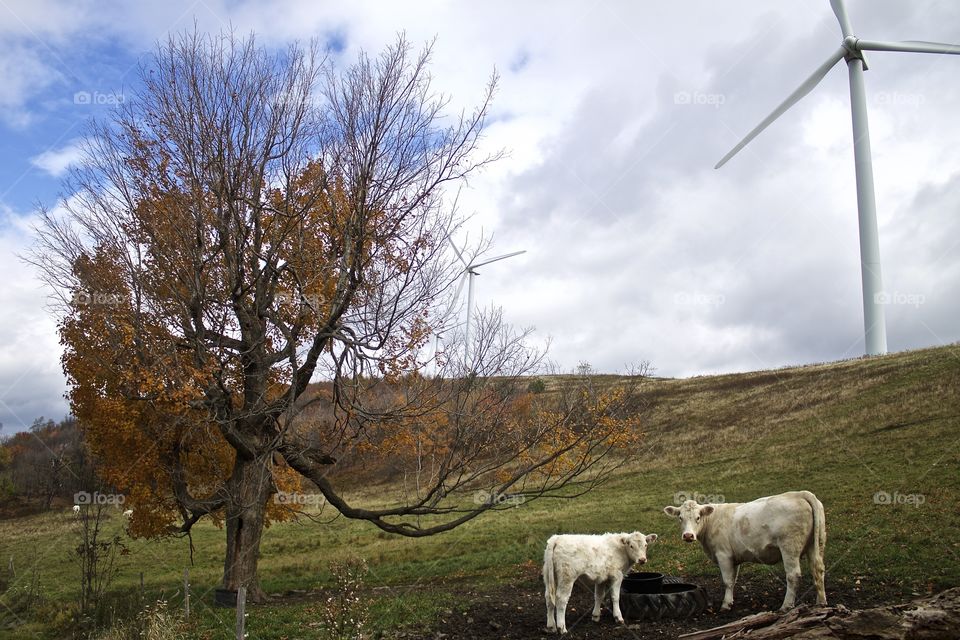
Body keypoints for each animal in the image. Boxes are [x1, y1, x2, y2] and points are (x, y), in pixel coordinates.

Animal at [663, 491, 826, 612]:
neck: (712, 521)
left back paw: (786, 606)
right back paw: (821, 602)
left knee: (793, 575)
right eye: (680, 517)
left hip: (789, 546)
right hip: (816, 544)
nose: (688, 535)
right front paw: (730, 601)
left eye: (698, 517)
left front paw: (725, 605)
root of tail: (799, 494)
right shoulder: (734, 558)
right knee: (818, 570)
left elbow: (727, 581)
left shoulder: (723, 555)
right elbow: (733, 580)